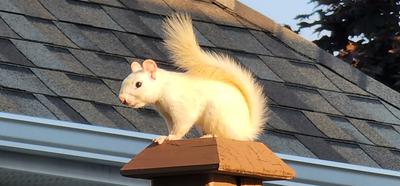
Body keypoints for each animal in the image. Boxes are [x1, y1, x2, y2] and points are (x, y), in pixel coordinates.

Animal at [119, 13, 268, 144]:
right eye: (123, 82)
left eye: (138, 84)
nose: (122, 99)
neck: (164, 88)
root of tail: (245, 131)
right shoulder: (167, 114)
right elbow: (172, 126)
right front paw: (164, 136)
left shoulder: (182, 106)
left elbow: (182, 124)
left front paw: (171, 137)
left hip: (218, 118)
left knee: (226, 136)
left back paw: (209, 136)